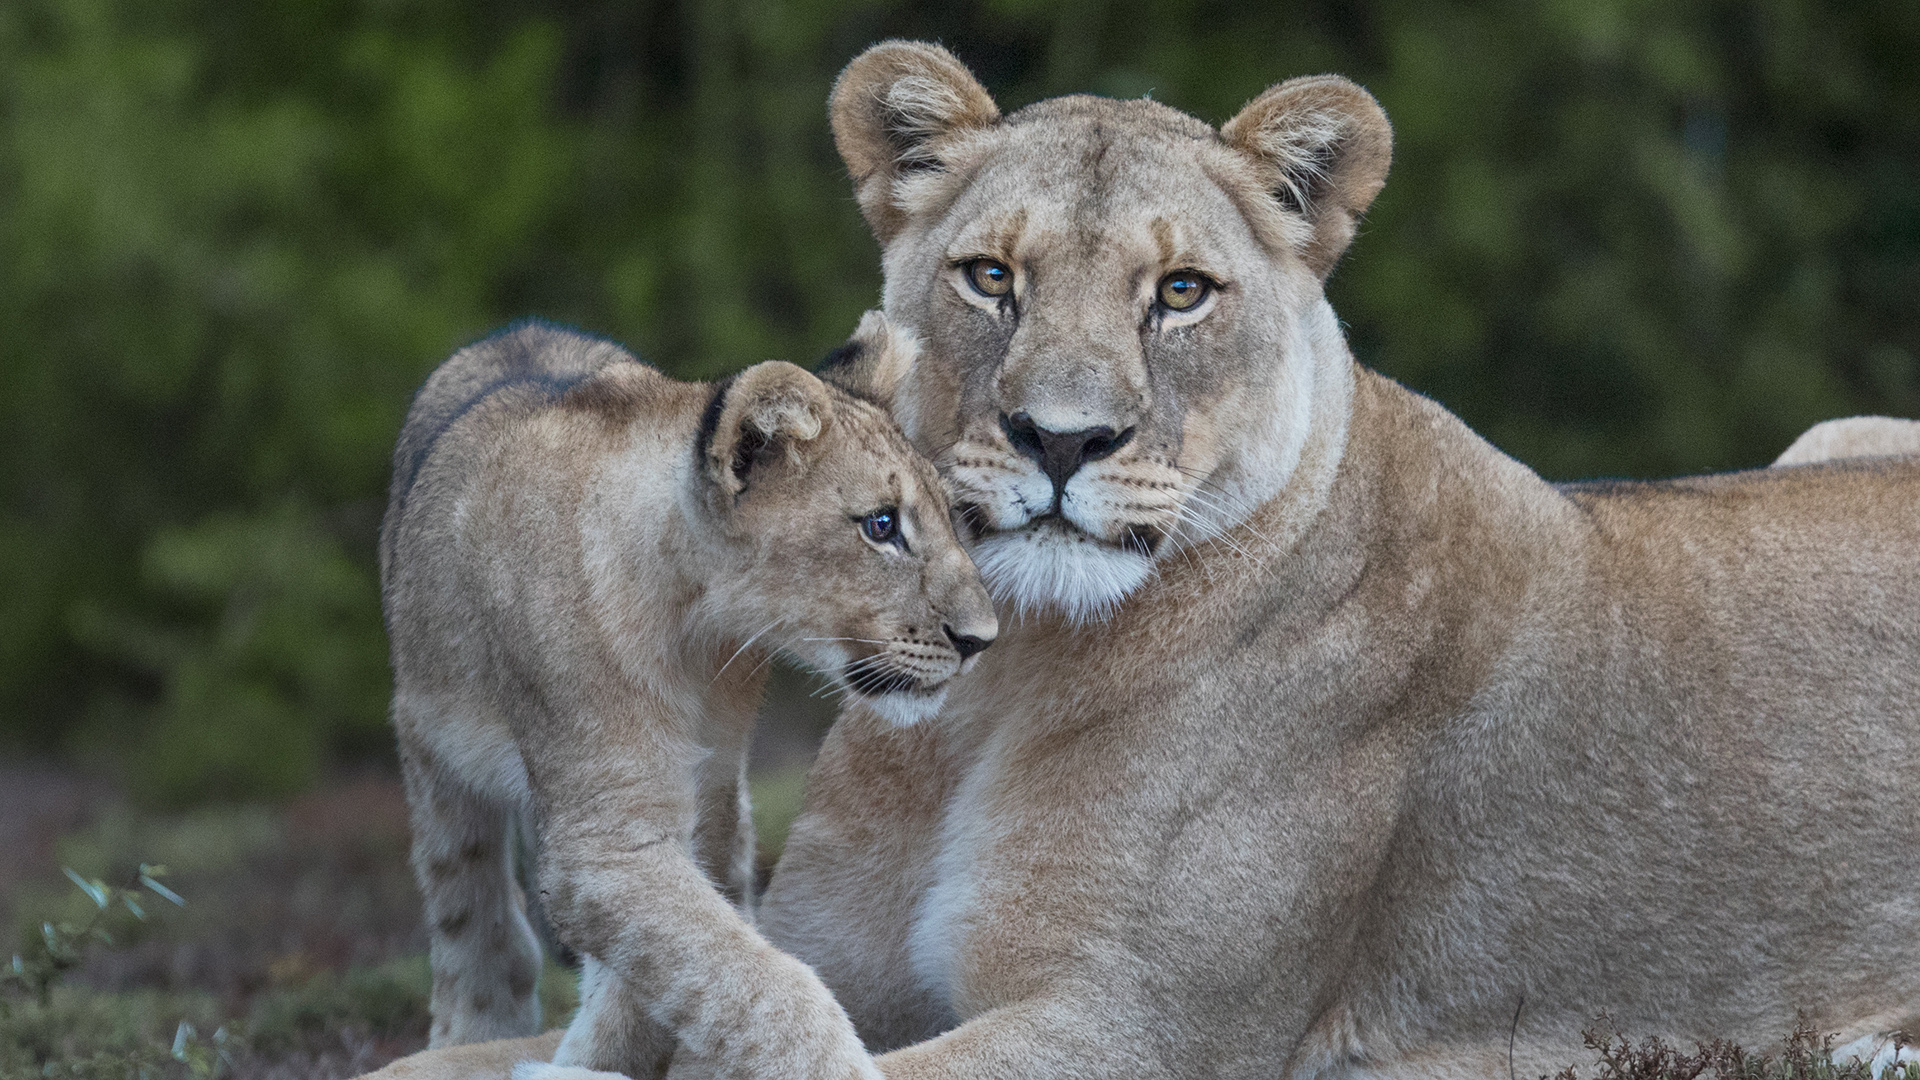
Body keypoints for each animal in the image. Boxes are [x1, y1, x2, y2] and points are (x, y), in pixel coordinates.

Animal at [378, 313, 995, 1080]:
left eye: (949, 518)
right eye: (881, 526)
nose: (982, 638)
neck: (696, 632)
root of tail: (514, 330)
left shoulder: (702, 796)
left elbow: (676, 971)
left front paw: (589, 1059)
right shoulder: (603, 839)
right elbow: (752, 978)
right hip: (432, 747)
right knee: (468, 901)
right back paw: (472, 1026)